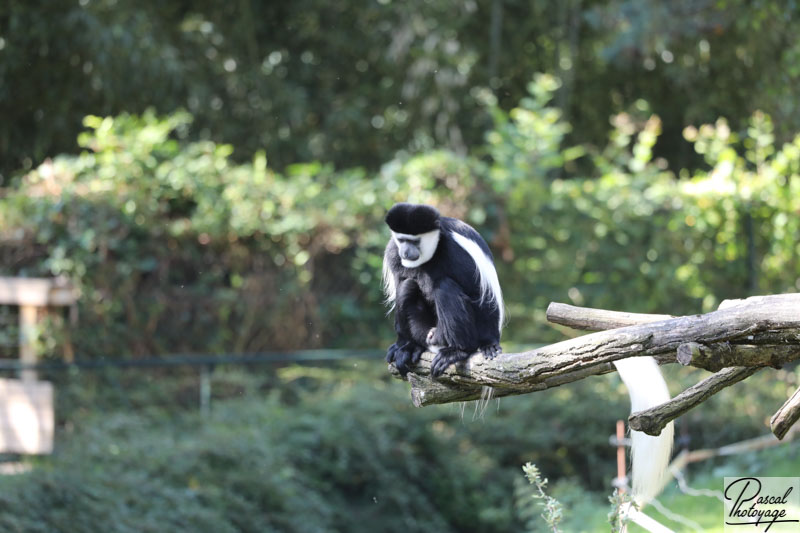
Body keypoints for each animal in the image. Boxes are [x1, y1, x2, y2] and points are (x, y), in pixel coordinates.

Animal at [380, 202, 500, 376]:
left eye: (415, 241)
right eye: (402, 240)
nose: (405, 252)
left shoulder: (457, 251)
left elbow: (479, 293)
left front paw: (490, 344)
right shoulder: (393, 253)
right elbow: (399, 286)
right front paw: (401, 345)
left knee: (444, 286)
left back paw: (458, 351)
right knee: (406, 286)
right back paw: (412, 346)